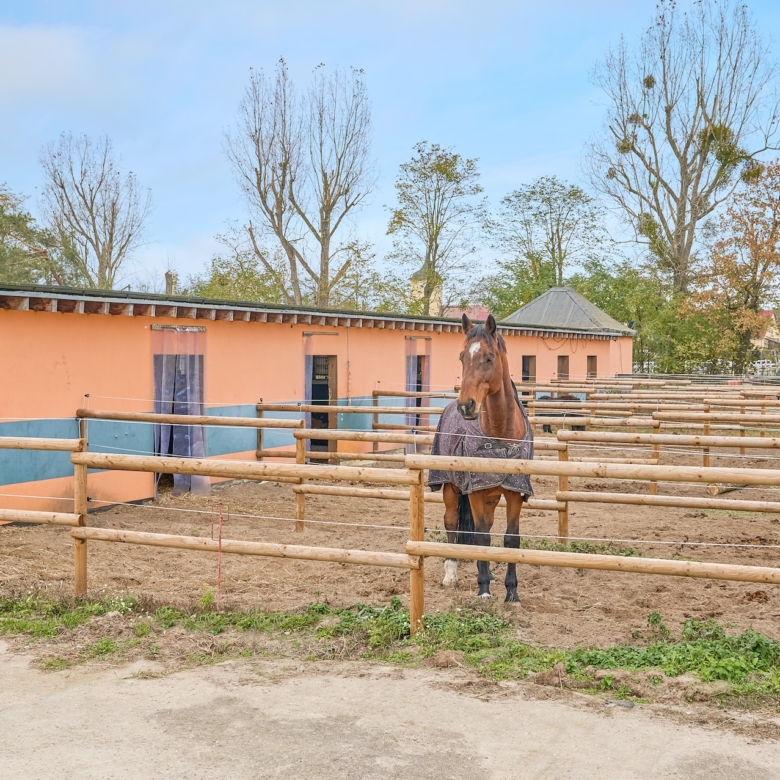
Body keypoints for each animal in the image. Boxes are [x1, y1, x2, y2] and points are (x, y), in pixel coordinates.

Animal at [428, 313, 534, 602]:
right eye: (462, 356)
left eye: (489, 357)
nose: (466, 405)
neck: (500, 437)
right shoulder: (474, 490)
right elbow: (481, 536)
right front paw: (484, 589)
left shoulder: (514, 491)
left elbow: (511, 539)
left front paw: (512, 592)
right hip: (452, 488)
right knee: (452, 523)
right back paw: (452, 573)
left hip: (491, 495)